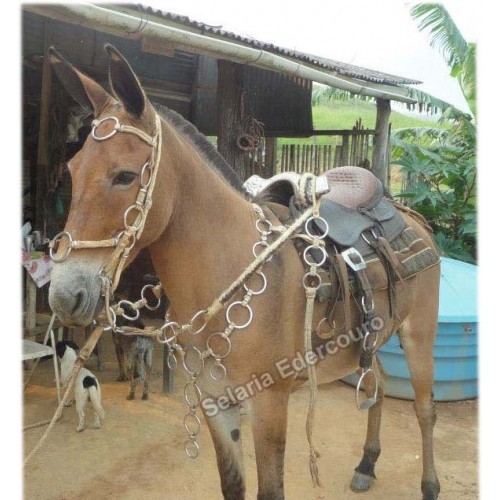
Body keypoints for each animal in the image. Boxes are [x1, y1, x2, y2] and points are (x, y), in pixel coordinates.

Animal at [46, 45, 438, 498]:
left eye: (125, 176)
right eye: (71, 170)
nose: (64, 295)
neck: (224, 273)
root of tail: (412, 216)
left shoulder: (269, 405)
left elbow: (271, 489)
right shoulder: (216, 402)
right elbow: (232, 483)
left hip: (418, 336)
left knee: (425, 410)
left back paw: (429, 484)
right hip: (370, 342)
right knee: (377, 385)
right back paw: (367, 464)